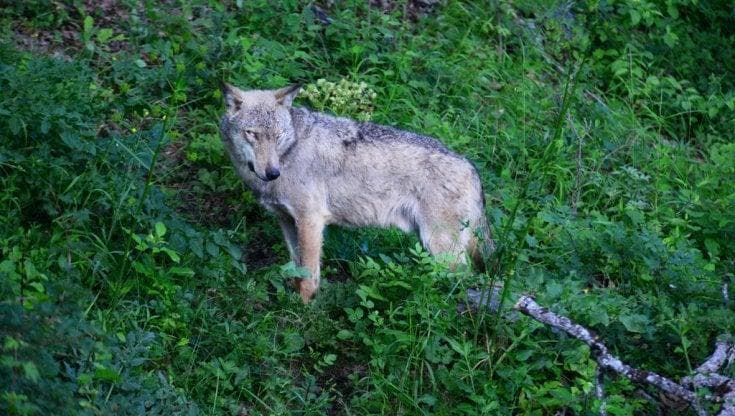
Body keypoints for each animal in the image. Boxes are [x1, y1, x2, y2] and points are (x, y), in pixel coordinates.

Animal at [220, 83, 493, 303]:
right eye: (252, 133)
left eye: (278, 136)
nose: (272, 172)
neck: (289, 152)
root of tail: (471, 167)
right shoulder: (286, 221)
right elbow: (297, 268)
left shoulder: (310, 220)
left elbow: (309, 275)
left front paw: (303, 309)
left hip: (440, 247)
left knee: (462, 278)